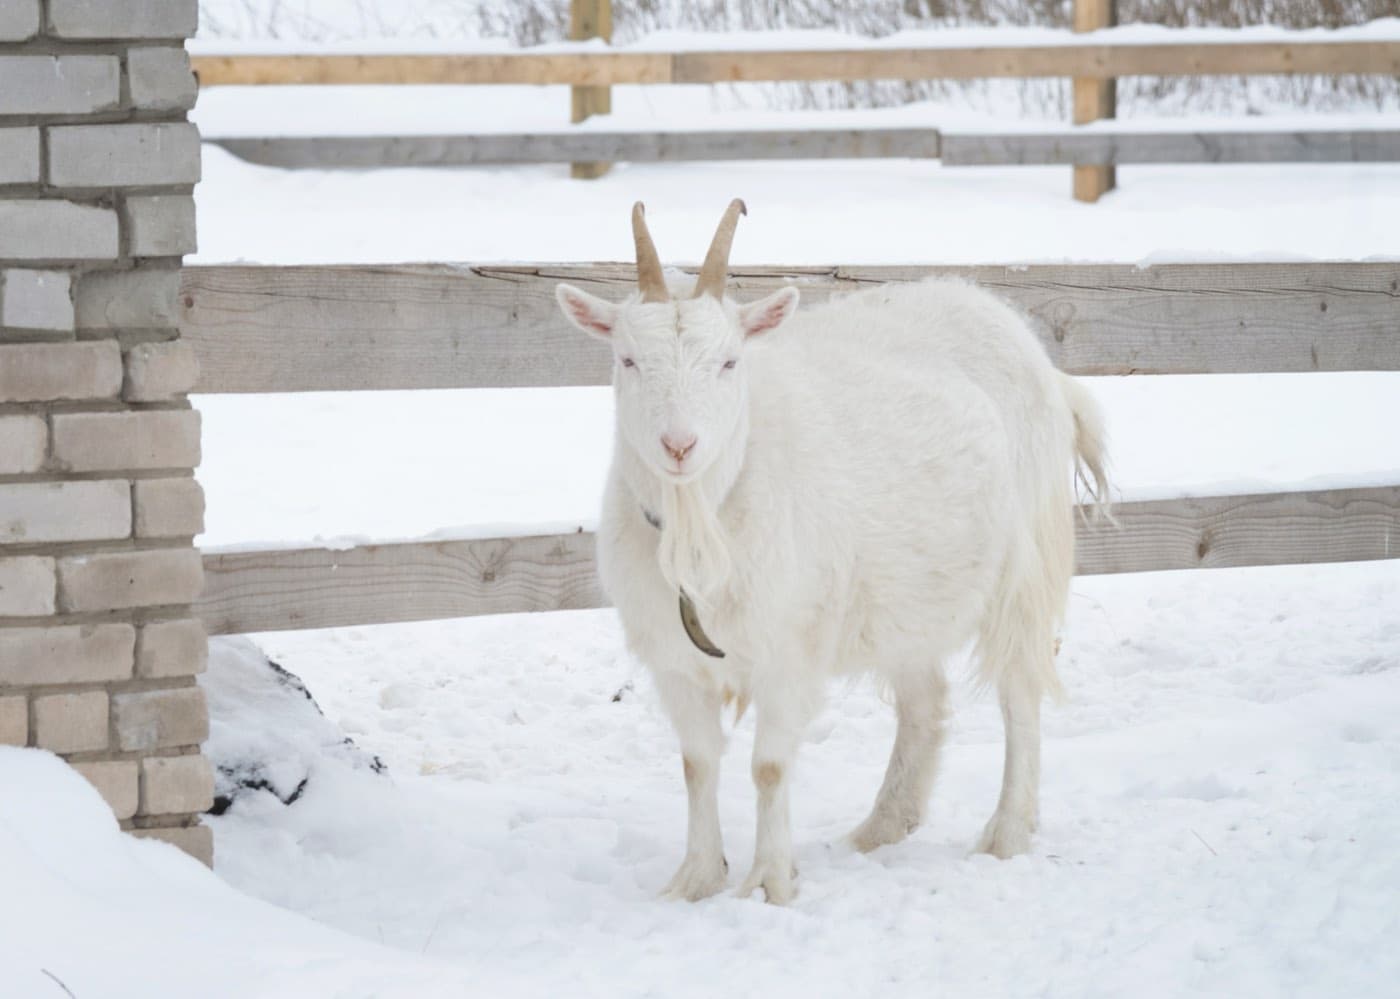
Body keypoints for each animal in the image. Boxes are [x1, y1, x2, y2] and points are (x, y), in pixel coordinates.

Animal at [555, 200, 1109, 904]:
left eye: (729, 362)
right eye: (626, 359)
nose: (679, 445)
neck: (705, 521)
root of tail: (1036, 355)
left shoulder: (789, 648)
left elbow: (768, 767)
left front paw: (770, 883)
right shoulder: (676, 663)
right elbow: (697, 764)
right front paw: (695, 880)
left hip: (1024, 564)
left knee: (1020, 692)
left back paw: (1006, 834)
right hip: (908, 591)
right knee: (925, 701)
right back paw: (879, 829)